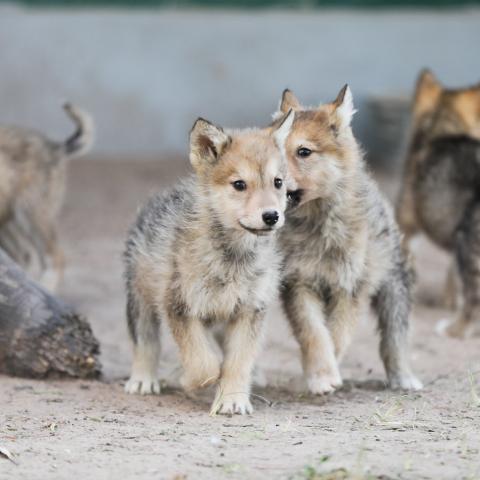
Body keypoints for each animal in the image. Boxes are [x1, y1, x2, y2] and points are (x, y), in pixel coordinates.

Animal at [0, 104, 94, 290]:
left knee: (55, 258)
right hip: (10, 224)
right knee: (24, 259)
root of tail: (53, 146)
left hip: (31, 216)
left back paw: (46, 288)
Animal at [274, 86, 424, 394]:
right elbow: (314, 333)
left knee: (395, 338)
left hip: (395, 290)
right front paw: (320, 374)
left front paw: (327, 371)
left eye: (303, 152)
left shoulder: (350, 286)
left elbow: (337, 334)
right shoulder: (298, 284)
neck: (318, 225)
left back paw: (403, 377)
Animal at [396, 71, 480, 340]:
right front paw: (450, 299)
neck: (443, 127)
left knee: (474, 304)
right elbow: (453, 273)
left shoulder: (406, 221)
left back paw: (455, 329)